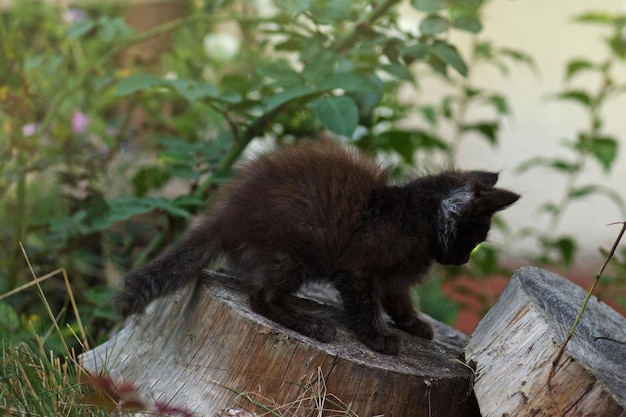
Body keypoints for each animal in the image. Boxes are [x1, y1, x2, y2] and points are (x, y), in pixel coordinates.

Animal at [114, 141, 520, 354]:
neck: (412, 218)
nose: (461, 260)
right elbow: (365, 307)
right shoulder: (358, 271)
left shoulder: (395, 279)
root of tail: (227, 216)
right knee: (260, 296)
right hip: (297, 249)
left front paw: (414, 325)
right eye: (473, 240)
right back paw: (310, 323)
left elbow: (399, 301)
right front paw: (378, 338)